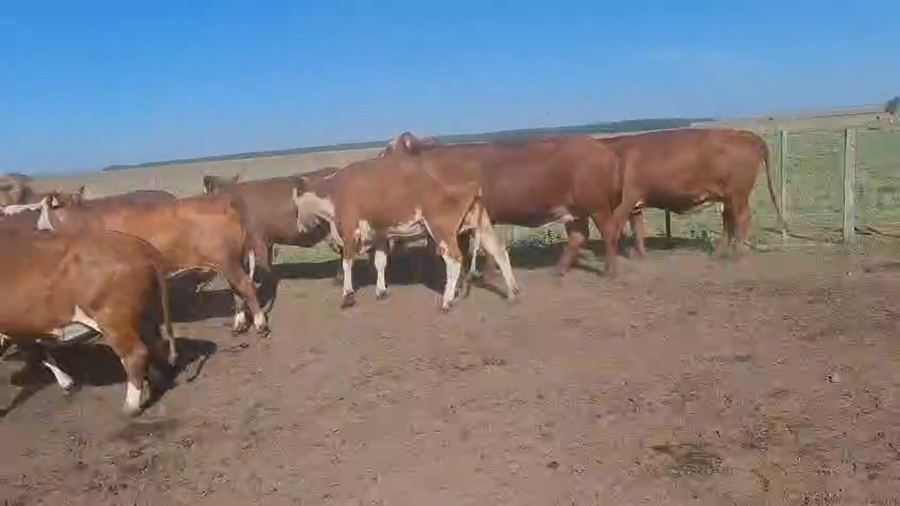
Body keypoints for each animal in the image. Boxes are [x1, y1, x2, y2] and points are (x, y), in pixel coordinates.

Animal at [0, 227, 177, 417]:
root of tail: (141, 245)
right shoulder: (18, 326)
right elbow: (37, 350)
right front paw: (67, 383)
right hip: (144, 314)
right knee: (155, 344)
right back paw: (156, 380)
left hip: (111, 317)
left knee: (135, 354)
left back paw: (130, 407)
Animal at [32, 191, 272, 337]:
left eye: (44, 221)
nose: (38, 236)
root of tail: (223, 200)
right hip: (231, 261)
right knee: (238, 290)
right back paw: (239, 323)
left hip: (228, 261)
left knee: (246, 287)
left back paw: (260, 323)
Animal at [291, 155, 520, 311]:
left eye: (296, 203)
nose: (299, 227)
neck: (335, 191)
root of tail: (468, 186)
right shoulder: (381, 235)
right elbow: (380, 262)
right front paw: (381, 291)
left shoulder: (350, 231)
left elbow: (348, 263)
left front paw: (347, 296)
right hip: (482, 227)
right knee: (500, 252)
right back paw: (513, 293)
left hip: (441, 231)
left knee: (454, 260)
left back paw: (446, 301)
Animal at [378, 131, 625, 278]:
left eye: (389, 150)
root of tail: (603, 150)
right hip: (575, 210)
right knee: (578, 235)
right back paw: (558, 270)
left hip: (597, 206)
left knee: (609, 231)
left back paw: (610, 271)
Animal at [599, 128, 787, 259]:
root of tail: (743, 134)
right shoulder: (635, 205)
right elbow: (637, 231)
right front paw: (641, 258)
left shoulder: (625, 202)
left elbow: (614, 229)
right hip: (728, 197)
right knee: (729, 220)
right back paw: (720, 254)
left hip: (737, 195)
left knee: (741, 218)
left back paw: (738, 255)